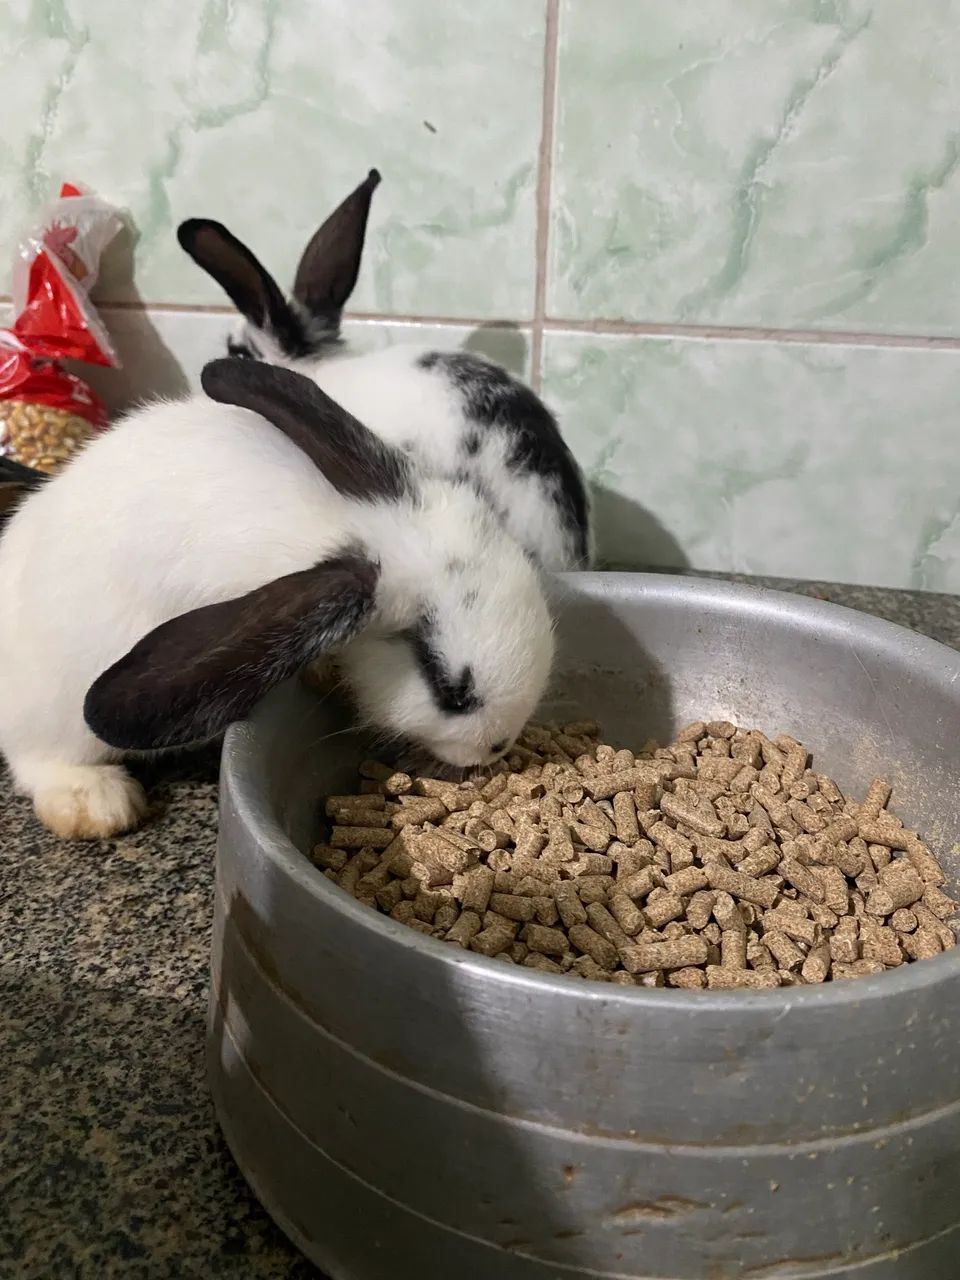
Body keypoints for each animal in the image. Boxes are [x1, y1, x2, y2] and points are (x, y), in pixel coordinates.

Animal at [0, 359, 554, 840]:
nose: (499, 747)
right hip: (59, 710)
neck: (348, 526)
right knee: (36, 753)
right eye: (450, 691)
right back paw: (98, 804)